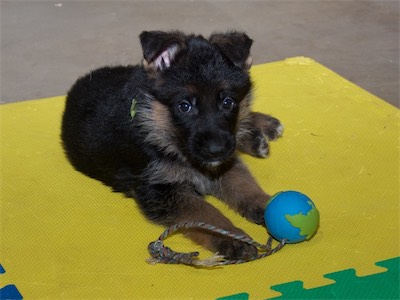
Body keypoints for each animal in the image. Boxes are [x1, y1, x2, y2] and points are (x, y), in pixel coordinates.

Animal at [61, 30, 282, 260]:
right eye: (184, 106)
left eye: (228, 102)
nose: (216, 151)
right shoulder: (161, 191)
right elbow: (204, 214)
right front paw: (231, 237)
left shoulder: (224, 162)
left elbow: (245, 185)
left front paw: (266, 205)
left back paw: (262, 127)